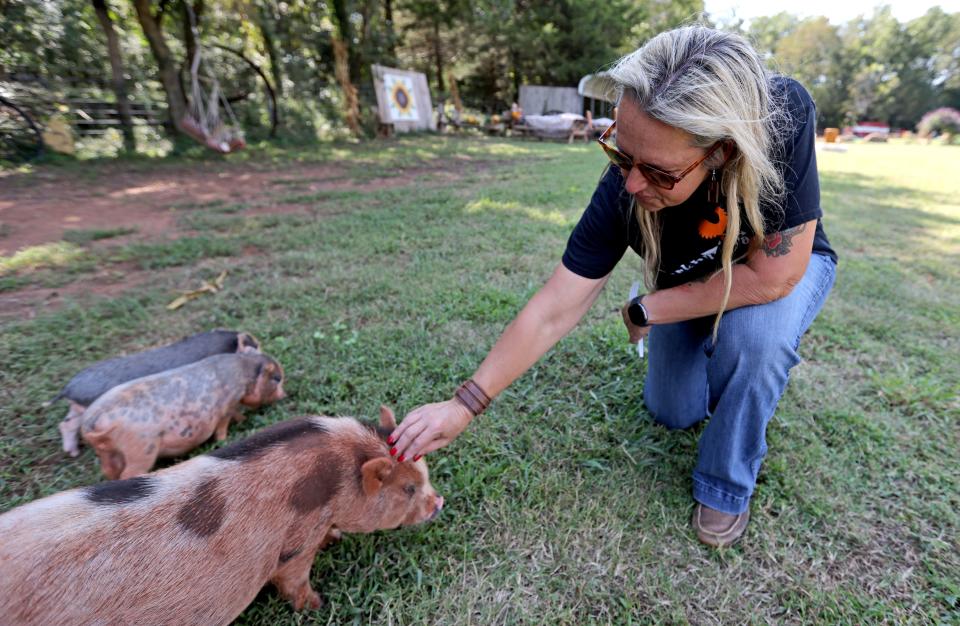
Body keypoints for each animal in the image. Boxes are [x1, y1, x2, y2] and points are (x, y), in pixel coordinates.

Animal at [0, 408, 442, 620]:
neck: (330, 483)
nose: (438, 502)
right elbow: (293, 579)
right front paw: (318, 605)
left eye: (423, 472)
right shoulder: (293, 546)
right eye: (408, 488)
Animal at [79, 352, 284, 478]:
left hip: (106, 452)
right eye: (276, 378)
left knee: (108, 471)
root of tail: (90, 421)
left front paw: (243, 419)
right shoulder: (228, 403)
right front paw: (225, 438)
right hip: (141, 448)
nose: (284, 395)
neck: (243, 372)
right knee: (128, 473)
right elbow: (223, 424)